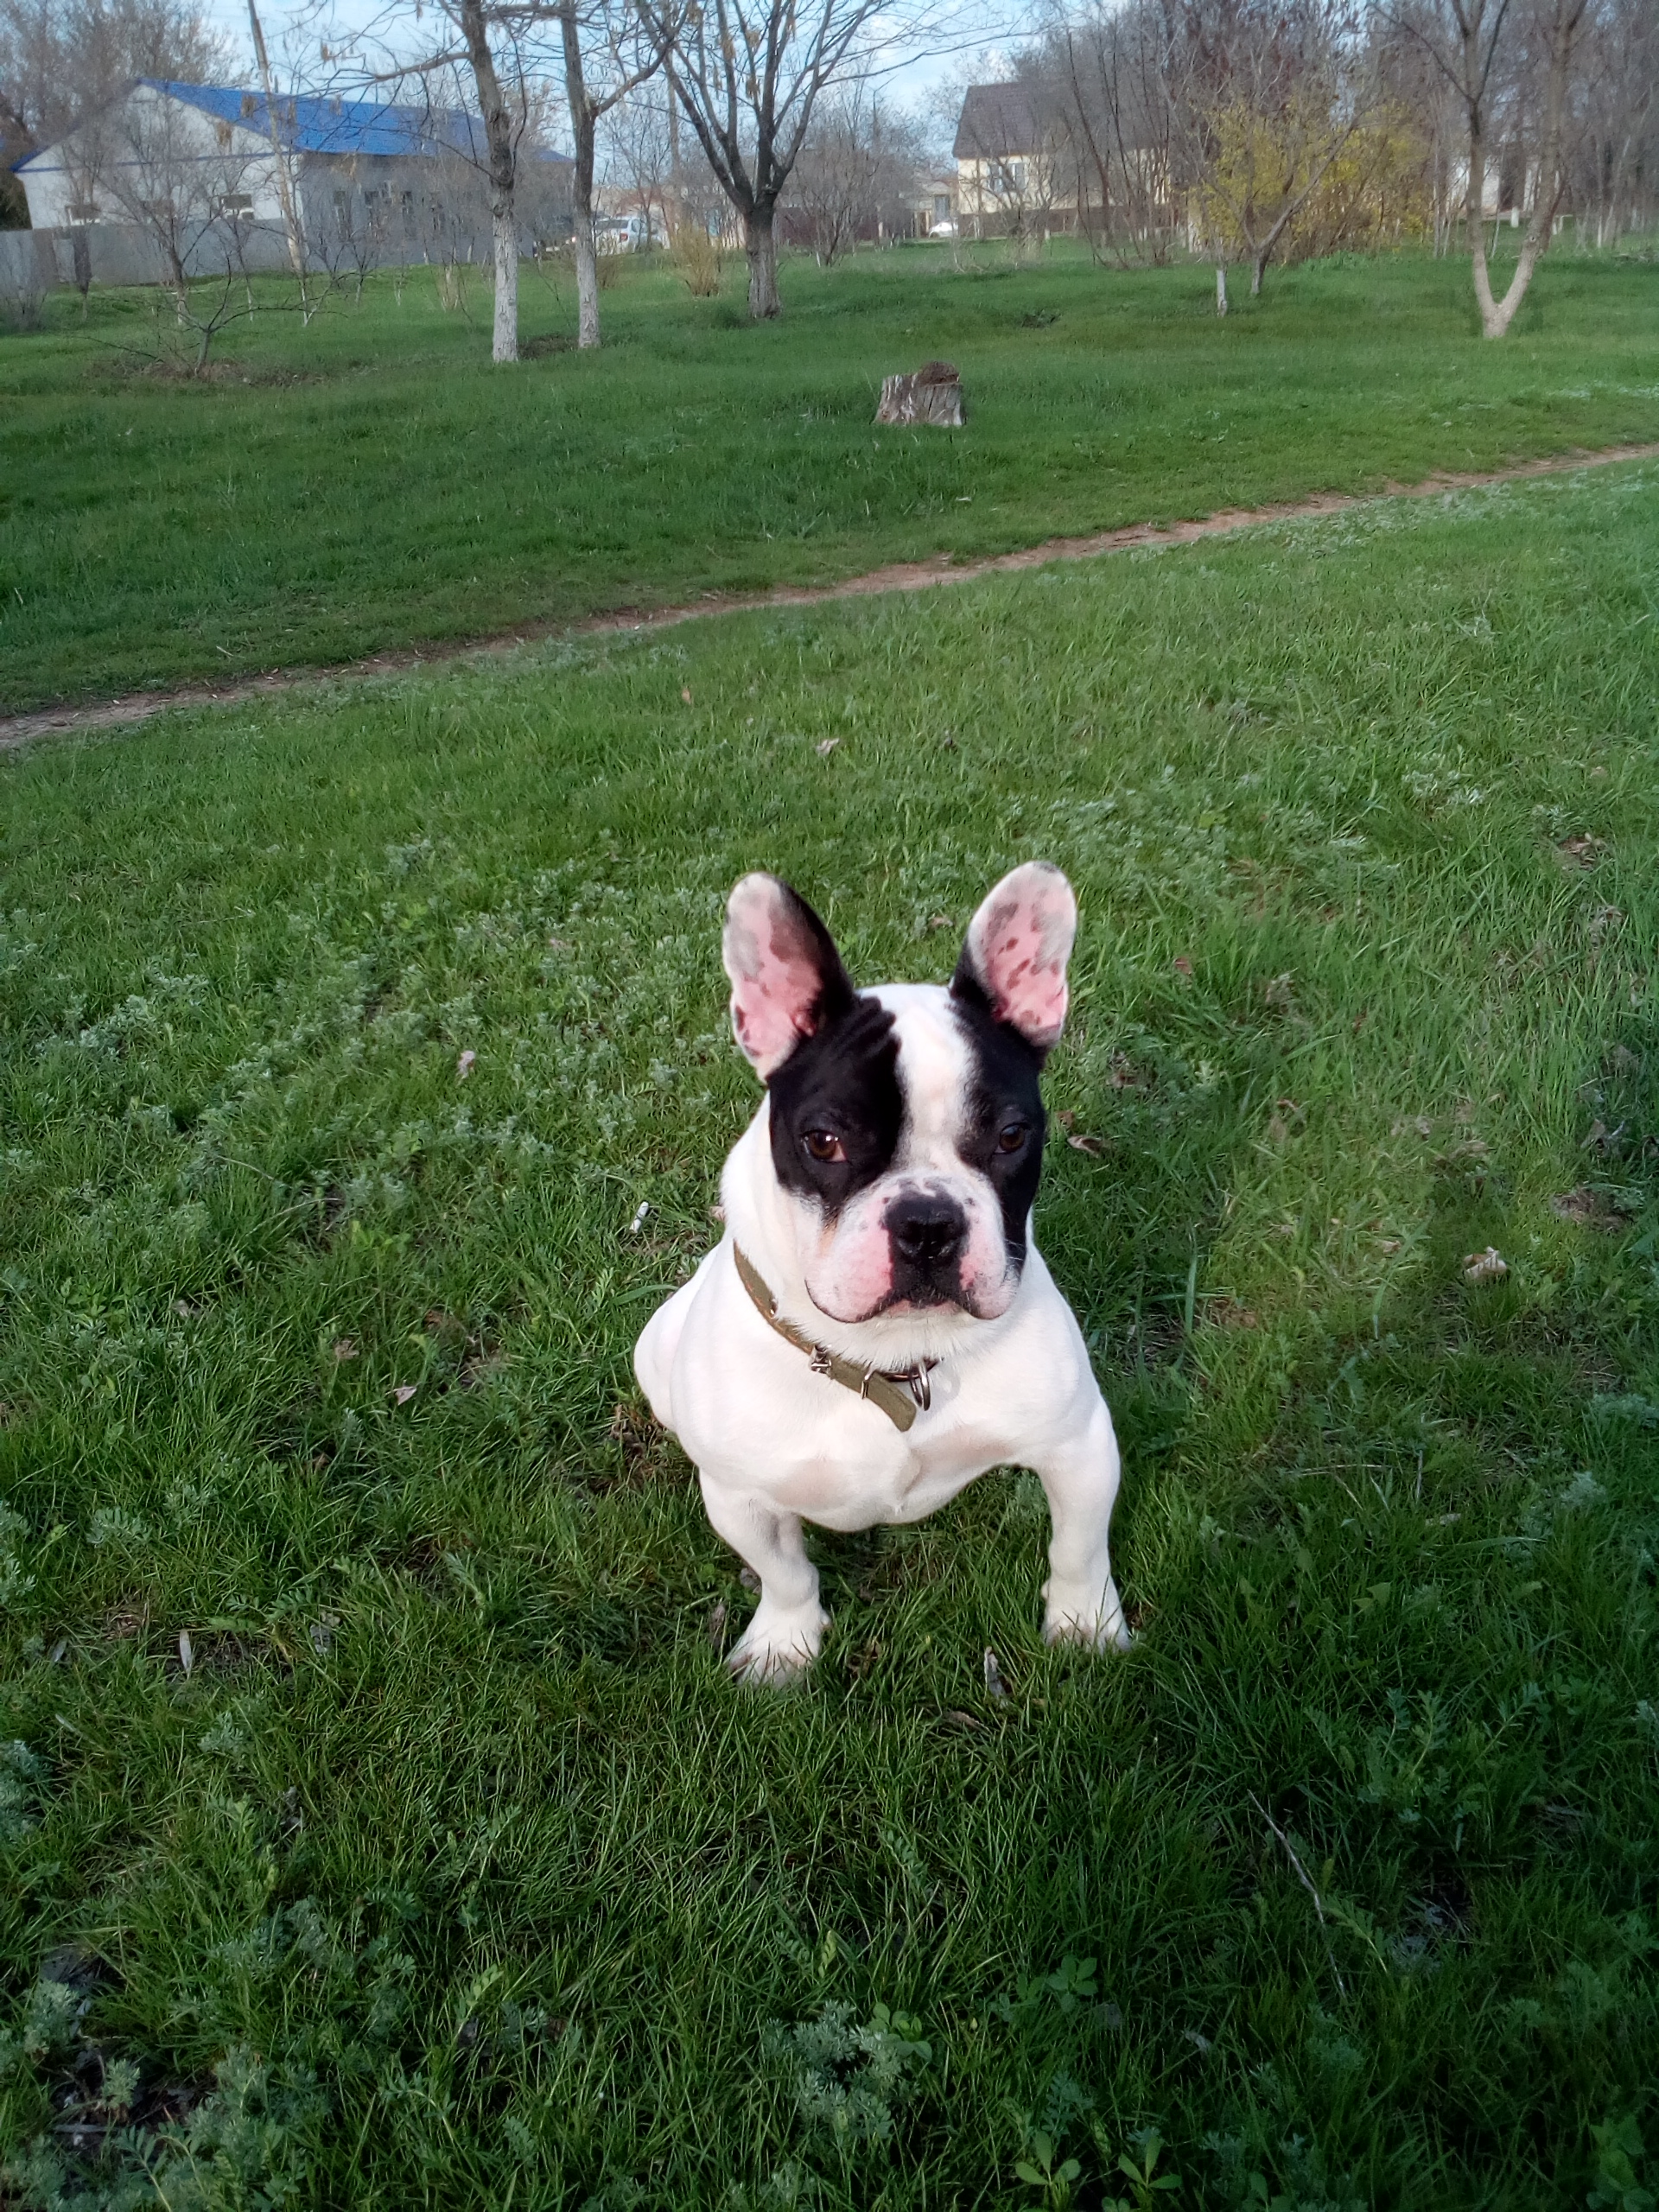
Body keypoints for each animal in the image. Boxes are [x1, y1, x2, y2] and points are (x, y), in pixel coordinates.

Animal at [633, 861, 1130, 1683]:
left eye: (1011, 1136)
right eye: (824, 1141)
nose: (928, 1222)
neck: (892, 1360)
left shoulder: (1080, 1448)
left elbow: (1079, 1550)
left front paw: (1085, 1625)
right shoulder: (742, 1498)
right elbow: (785, 1573)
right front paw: (785, 1645)